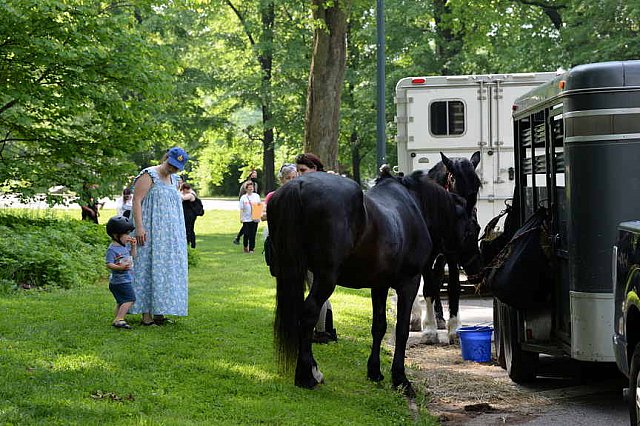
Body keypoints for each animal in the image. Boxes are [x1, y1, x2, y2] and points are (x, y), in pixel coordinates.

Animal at [264, 170, 436, 396]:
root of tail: (298, 184)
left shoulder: (379, 285)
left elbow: (379, 325)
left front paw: (375, 372)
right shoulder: (409, 283)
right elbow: (401, 330)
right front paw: (400, 379)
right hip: (326, 278)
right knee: (308, 314)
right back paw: (307, 376)